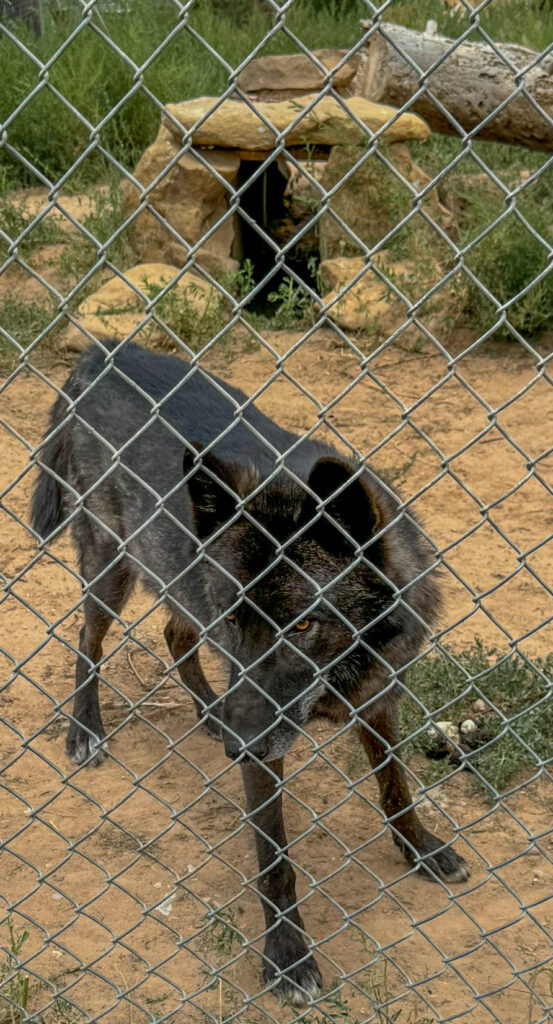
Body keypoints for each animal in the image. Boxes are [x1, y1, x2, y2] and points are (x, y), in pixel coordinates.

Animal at [30, 339, 469, 1003]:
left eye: (305, 625)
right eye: (238, 617)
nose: (237, 744)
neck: (338, 676)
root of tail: (105, 349)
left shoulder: (378, 698)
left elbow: (396, 786)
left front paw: (421, 849)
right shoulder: (264, 752)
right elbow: (275, 861)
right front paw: (288, 956)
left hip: (174, 578)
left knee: (174, 634)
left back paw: (208, 711)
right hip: (113, 564)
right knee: (87, 638)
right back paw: (86, 729)